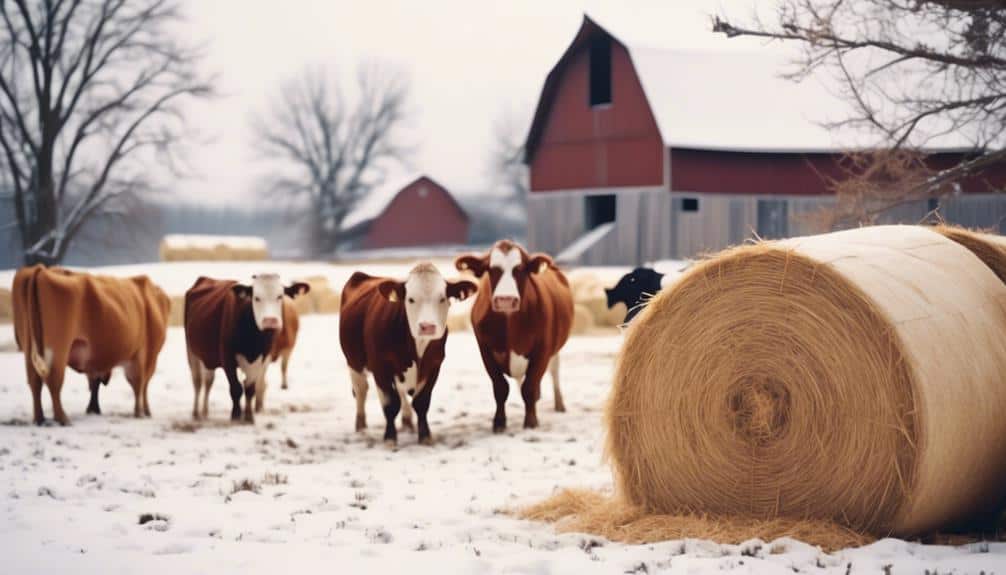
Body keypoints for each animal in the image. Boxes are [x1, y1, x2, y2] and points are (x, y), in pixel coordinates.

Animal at [12, 265, 171, 425]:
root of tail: (42, 270)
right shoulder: (142, 354)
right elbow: (139, 383)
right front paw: (140, 412)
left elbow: (96, 382)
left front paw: (93, 409)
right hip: (58, 347)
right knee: (54, 380)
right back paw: (62, 418)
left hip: (29, 345)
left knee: (34, 381)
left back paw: (39, 418)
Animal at [184, 274, 309, 424]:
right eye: (256, 297)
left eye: (280, 296)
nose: (270, 321)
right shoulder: (227, 358)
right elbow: (236, 388)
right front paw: (236, 415)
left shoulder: (261, 358)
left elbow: (250, 388)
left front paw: (249, 416)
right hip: (192, 352)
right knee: (197, 382)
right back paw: (196, 412)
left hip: (208, 357)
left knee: (208, 381)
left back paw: (205, 411)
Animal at [339, 262, 477, 446]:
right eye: (410, 299)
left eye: (442, 298)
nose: (427, 326)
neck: (416, 345)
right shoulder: (380, 367)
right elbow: (390, 404)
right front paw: (390, 438)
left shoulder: (434, 365)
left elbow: (421, 402)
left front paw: (425, 436)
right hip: (353, 362)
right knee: (361, 390)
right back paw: (361, 426)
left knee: (400, 391)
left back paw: (407, 422)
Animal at [455, 240, 574, 433]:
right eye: (491, 269)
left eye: (520, 269)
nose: (506, 300)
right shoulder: (485, 351)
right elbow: (501, 388)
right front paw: (499, 422)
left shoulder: (542, 350)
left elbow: (529, 387)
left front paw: (531, 421)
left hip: (555, 349)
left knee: (554, 371)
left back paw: (559, 404)